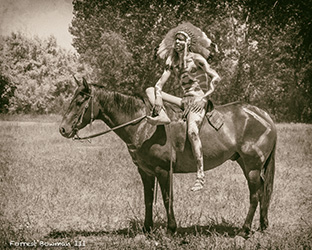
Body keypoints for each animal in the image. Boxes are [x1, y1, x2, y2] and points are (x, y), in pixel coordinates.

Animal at [59, 78, 278, 238]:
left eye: (79, 102)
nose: (63, 129)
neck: (144, 126)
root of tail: (264, 115)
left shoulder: (163, 170)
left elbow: (166, 199)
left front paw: (171, 229)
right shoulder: (145, 171)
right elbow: (148, 199)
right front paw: (146, 229)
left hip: (252, 166)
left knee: (255, 195)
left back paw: (244, 230)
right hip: (245, 163)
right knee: (262, 193)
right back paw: (262, 225)